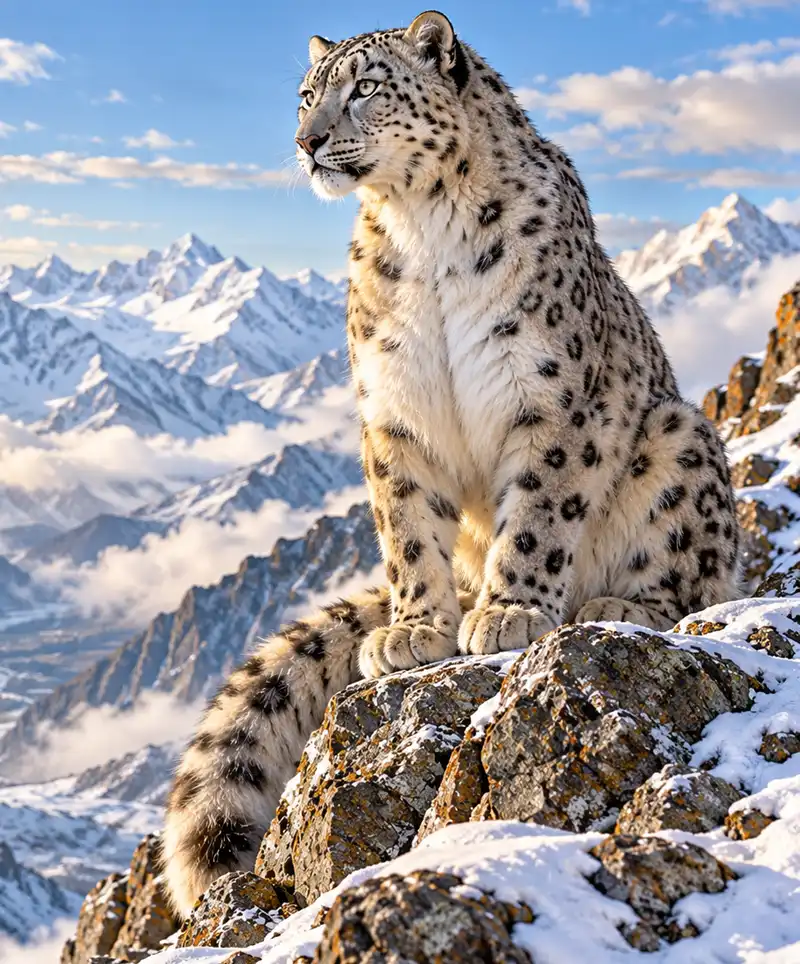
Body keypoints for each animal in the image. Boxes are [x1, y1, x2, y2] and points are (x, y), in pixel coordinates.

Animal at [162, 10, 740, 915]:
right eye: (306, 94)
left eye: (366, 87)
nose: (306, 140)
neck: (422, 228)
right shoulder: (395, 414)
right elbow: (408, 531)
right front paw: (416, 631)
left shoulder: (547, 397)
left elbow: (538, 512)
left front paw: (510, 613)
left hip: (680, 437)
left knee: (695, 581)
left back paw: (617, 603)